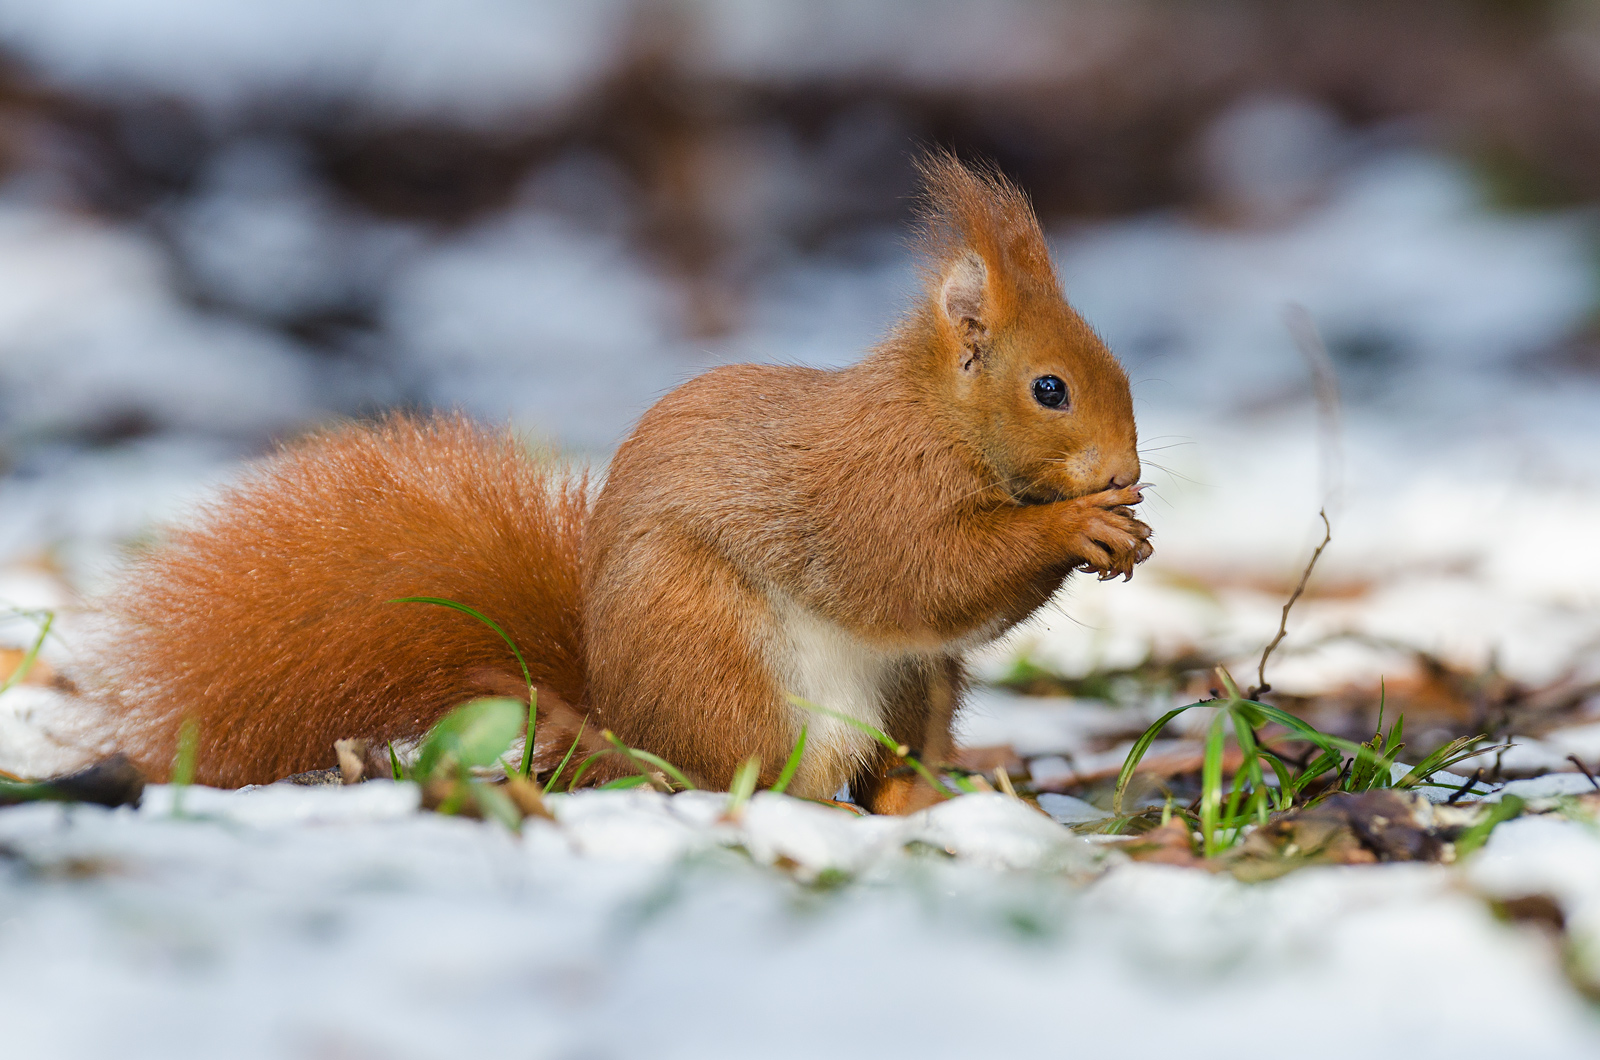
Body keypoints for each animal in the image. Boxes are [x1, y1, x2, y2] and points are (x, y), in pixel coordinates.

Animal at [81, 154, 1151, 814]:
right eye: (1049, 388)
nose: (1126, 473)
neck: (937, 417)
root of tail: (625, 736)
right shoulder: (872, 485)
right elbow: (918, 572)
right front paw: (1080, 528)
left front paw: (1126, 528)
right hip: (720, 659)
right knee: (765, 778)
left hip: (915, 690)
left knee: (887, 762)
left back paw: (926, 800)